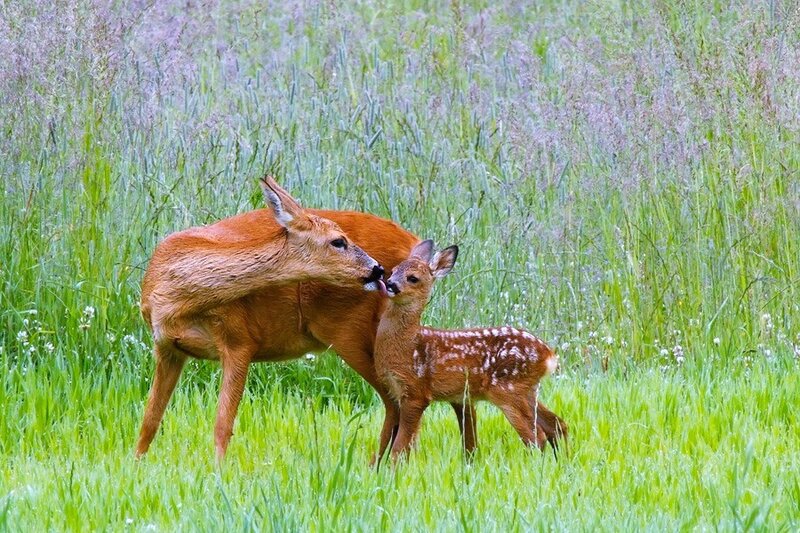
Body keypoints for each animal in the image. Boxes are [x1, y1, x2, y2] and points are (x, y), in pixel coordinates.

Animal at [375, 240, 566, 461]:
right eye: (394, 270)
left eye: (413, 278)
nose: (390, 284)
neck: (407, 344)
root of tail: (548, 355)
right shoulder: (398, 392)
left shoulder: (416, 392)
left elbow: (399, 447)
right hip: (528, 388)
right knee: (557, 424)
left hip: (507, 389)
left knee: (536, 436)